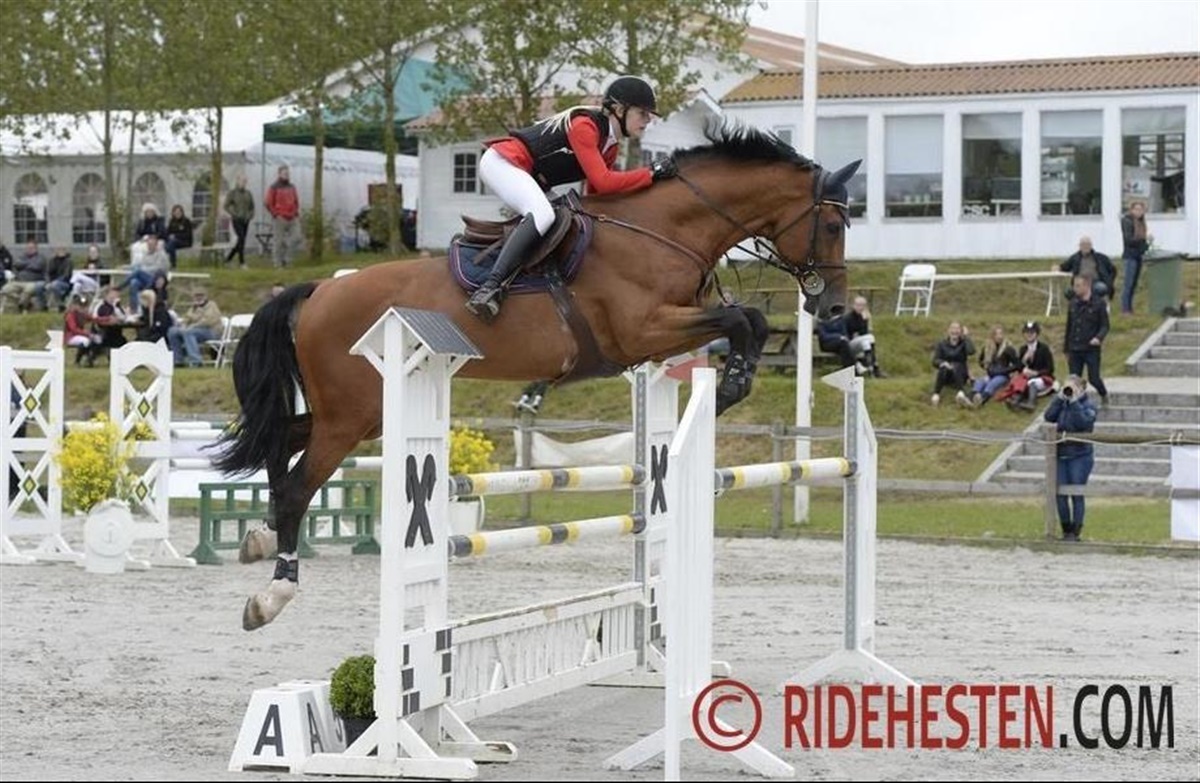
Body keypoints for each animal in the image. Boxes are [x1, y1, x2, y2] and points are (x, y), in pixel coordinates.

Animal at [214, 122, 860, 630]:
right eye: (832, 225)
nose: (832, 308)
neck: (664, 229)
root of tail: (320, 291)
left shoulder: (664, 332)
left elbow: (747, 319)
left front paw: (731, 384)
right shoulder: (643, 330)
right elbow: (743, 317)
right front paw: (731, 384)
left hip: (360, 415)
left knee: (281, 442)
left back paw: (260, 537)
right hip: (350, 416)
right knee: (298, 485)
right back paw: (271, 595)